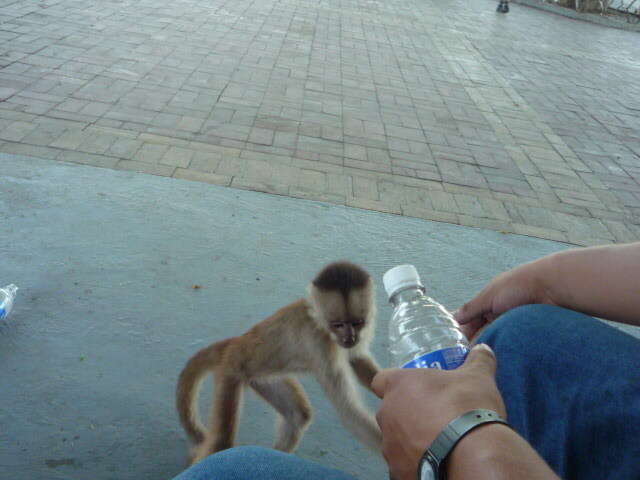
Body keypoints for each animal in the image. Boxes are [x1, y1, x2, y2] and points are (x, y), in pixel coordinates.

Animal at [176, 260, 380, 464]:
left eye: (357, 323)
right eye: (338, 324)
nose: (349, 338)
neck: (319, 324)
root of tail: (234, 343)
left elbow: (357, 359)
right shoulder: (319, 345)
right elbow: (349, 412)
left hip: (262, 377)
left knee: (298, 415)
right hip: (230, 371)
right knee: (221, 441)